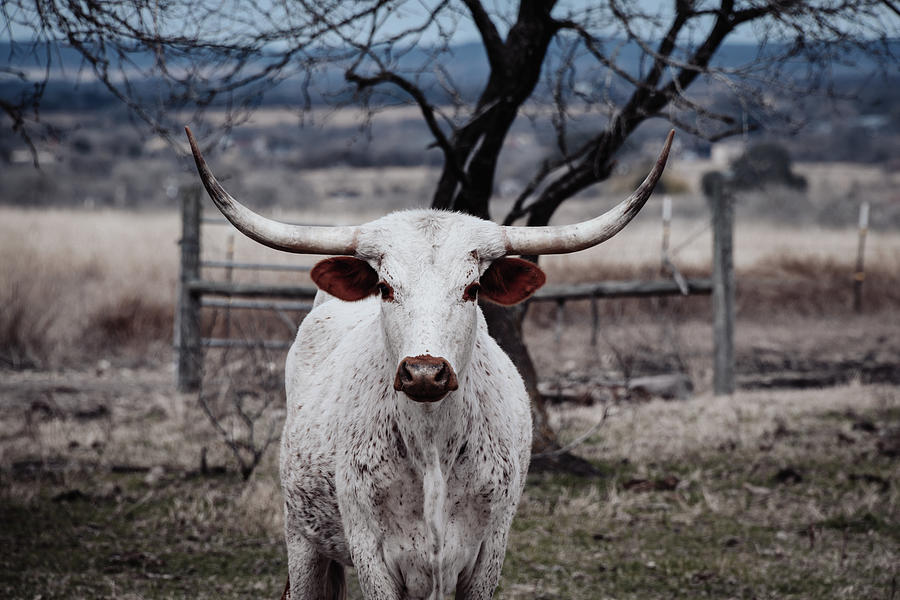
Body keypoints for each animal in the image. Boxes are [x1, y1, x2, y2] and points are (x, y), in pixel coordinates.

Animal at [186, 127, 672, 600]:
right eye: (385, 287)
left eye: (472, 289)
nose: (424, 371)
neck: (432, 445)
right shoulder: (372, 555)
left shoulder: (487, 554)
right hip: (302, 539)